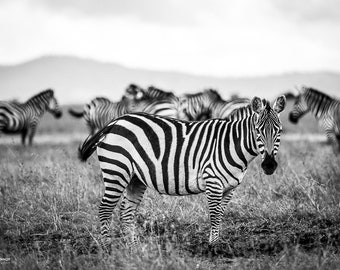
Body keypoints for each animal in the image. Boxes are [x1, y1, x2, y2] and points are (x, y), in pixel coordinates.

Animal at [78, 95, 286, 249]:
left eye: (279, 131)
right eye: (258, 131)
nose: (269, 165)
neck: (230, 143)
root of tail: (114, 123)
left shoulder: (230, 188)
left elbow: (220, 214)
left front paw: (217, 244)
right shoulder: (213, 181)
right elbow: (214, 215)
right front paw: (213, 247)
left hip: (135, 178)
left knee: (126, 211)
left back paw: (135, 247)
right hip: (116, 171)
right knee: (105, 209)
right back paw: (107, 247)